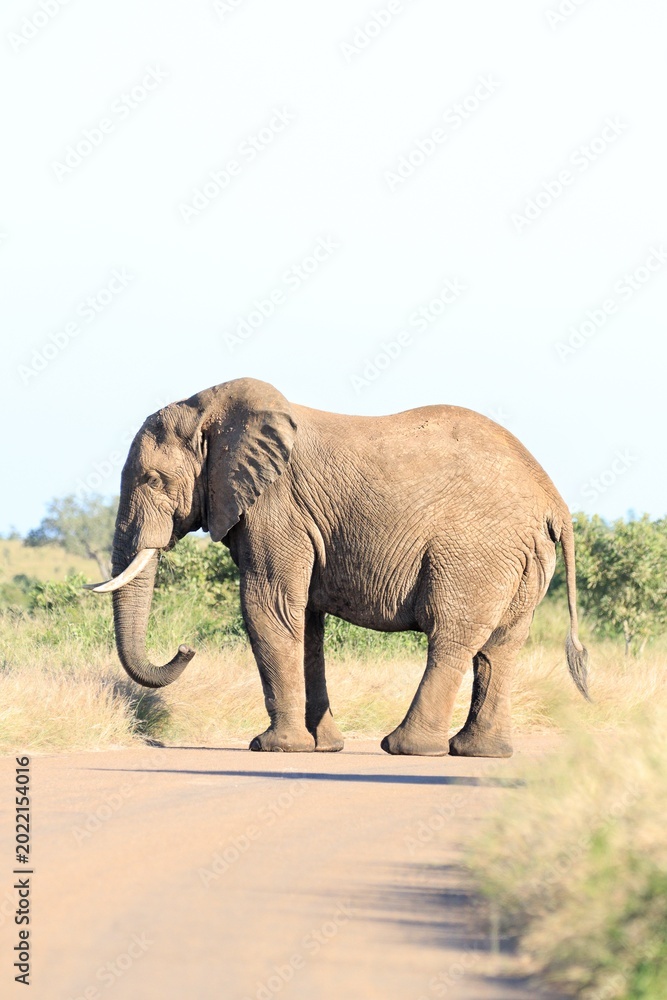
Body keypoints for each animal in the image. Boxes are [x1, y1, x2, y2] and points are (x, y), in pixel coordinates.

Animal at [89, 377, 589, 757]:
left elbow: (267, 608)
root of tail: (554, 501)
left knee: (452, 635)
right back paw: (479, 752)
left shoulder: (278, 507)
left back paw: (405, 748)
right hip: (523, 557)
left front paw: (273, 747)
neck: (211, 410)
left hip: (476, 550)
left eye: (154, 480)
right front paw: (323, 747)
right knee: (500, 647)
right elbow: (305, 622)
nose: (185, 648)